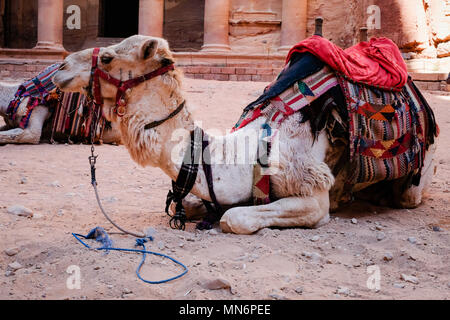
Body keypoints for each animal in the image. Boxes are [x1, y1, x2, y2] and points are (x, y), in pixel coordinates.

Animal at [51, 35, 436, 235]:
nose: (60, 67)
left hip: (417, 175)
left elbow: (233, 217)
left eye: (108, 57)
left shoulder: (310, 193)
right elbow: (192, 204)